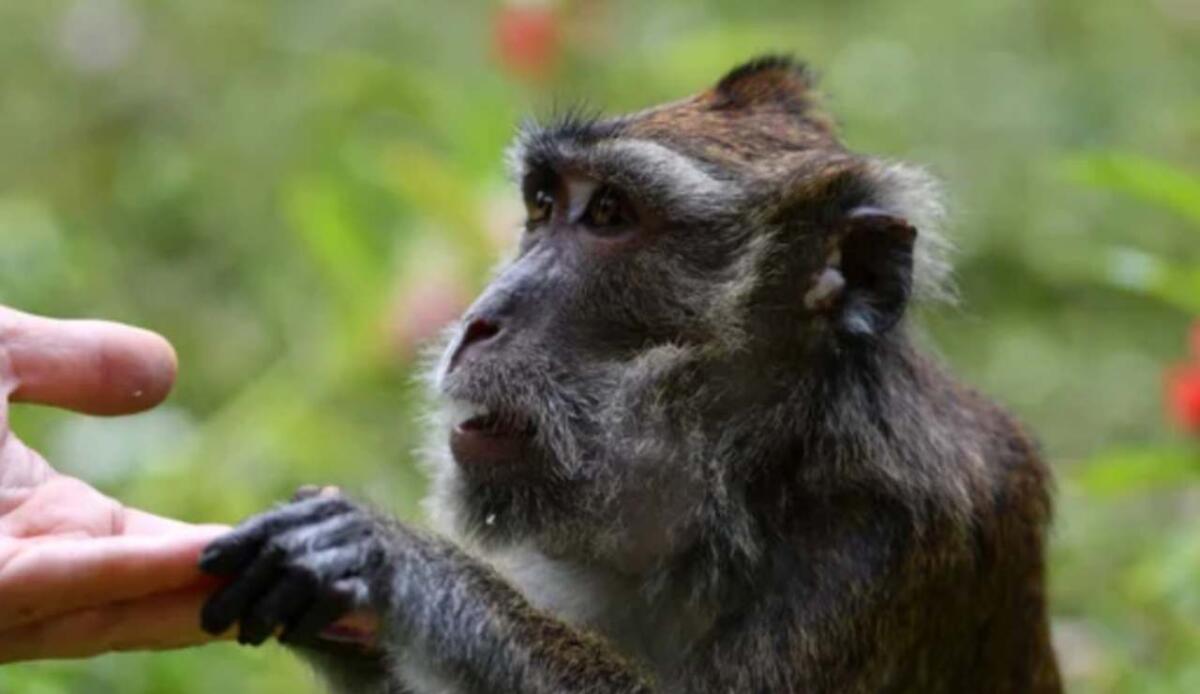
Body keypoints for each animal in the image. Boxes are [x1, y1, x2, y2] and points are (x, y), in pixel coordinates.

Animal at [198, 55, 1062, 693]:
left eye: (611, 214)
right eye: (543, 204)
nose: (479, 319)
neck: (753, 479)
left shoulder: (879, 543)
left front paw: (392, 560)